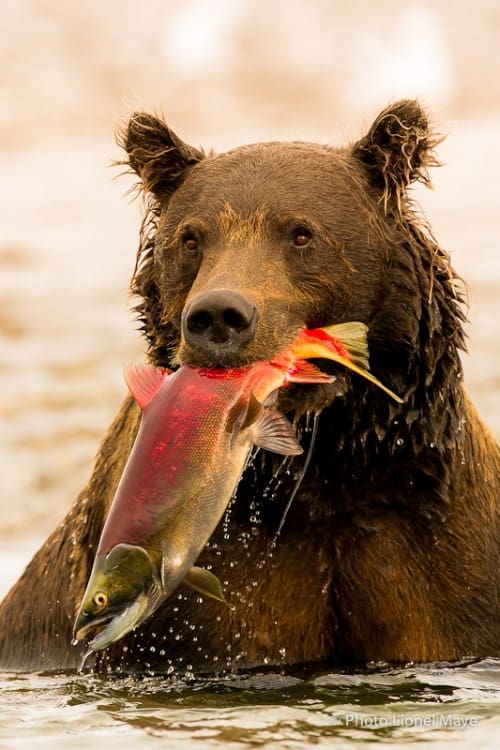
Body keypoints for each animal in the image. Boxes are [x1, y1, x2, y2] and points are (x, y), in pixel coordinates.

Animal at [0, 100, 499, 674]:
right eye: (191, 238)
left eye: (301, 233)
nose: (218, 315)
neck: (326, 469)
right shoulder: (219, 586)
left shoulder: (435, 550)